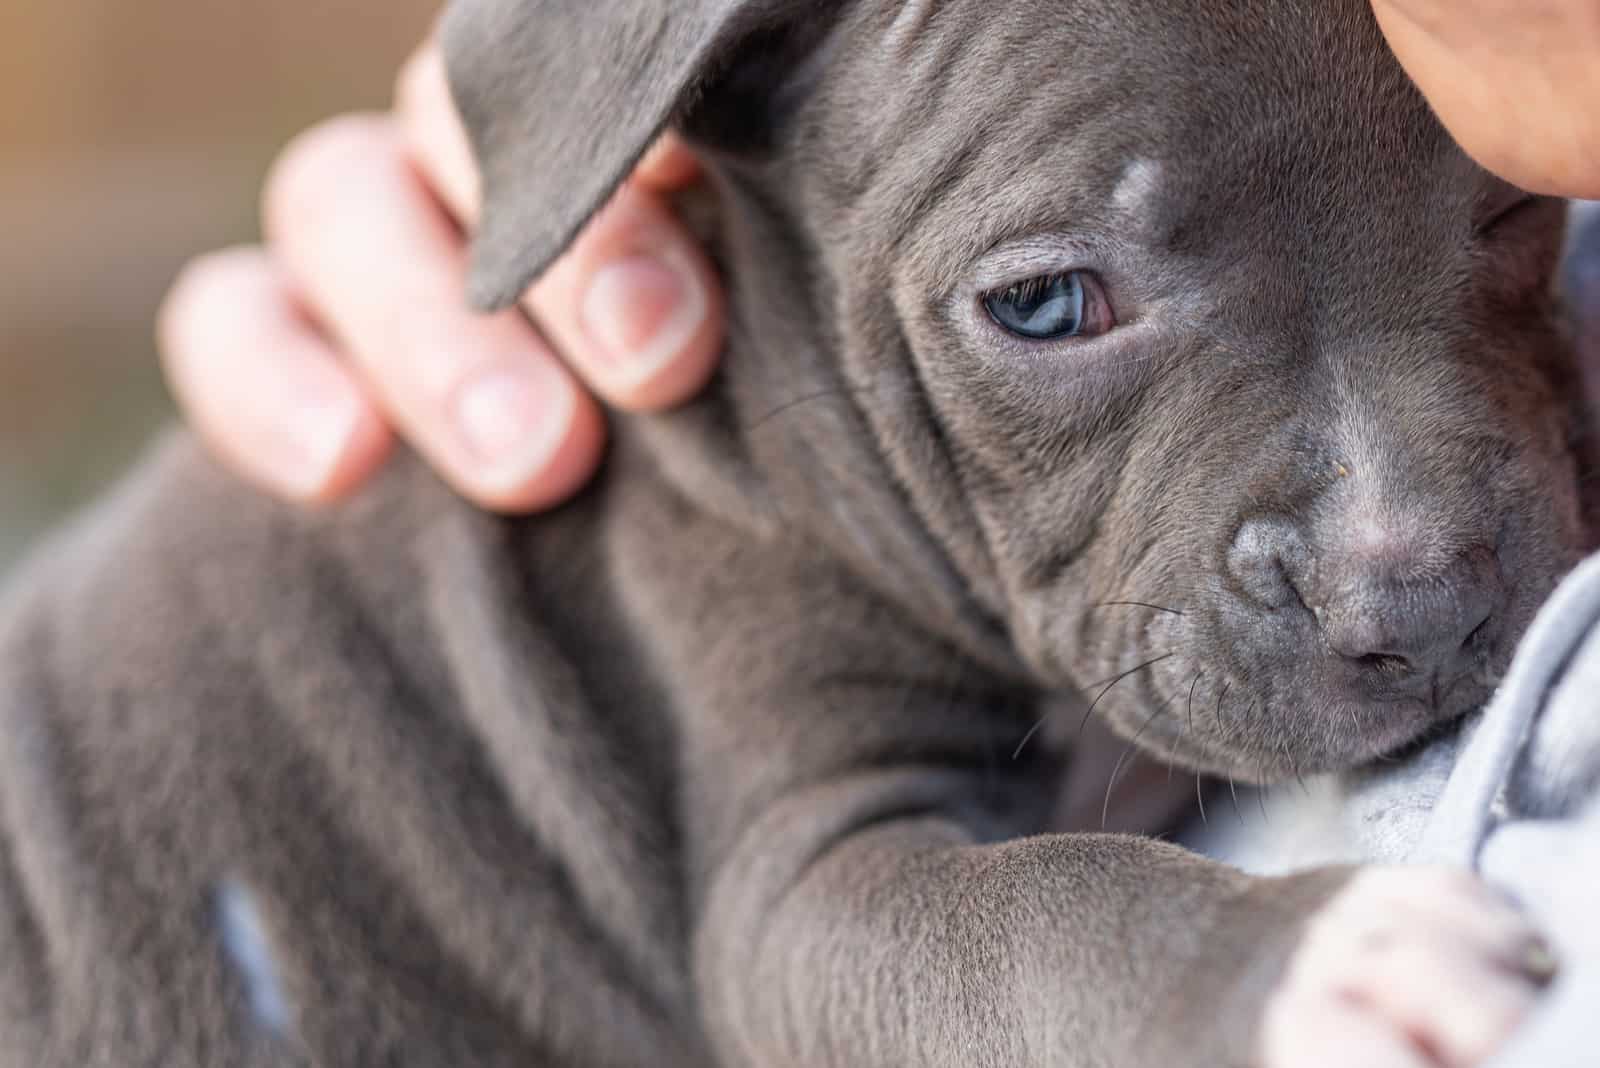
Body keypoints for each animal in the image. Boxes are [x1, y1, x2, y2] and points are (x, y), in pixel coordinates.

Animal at [0, 0, 1580, 1061]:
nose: (1425, 607)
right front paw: (1322, 965)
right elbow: (1053, 914)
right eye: (1046, 305)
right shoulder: (805, 875)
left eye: (1514, 208)